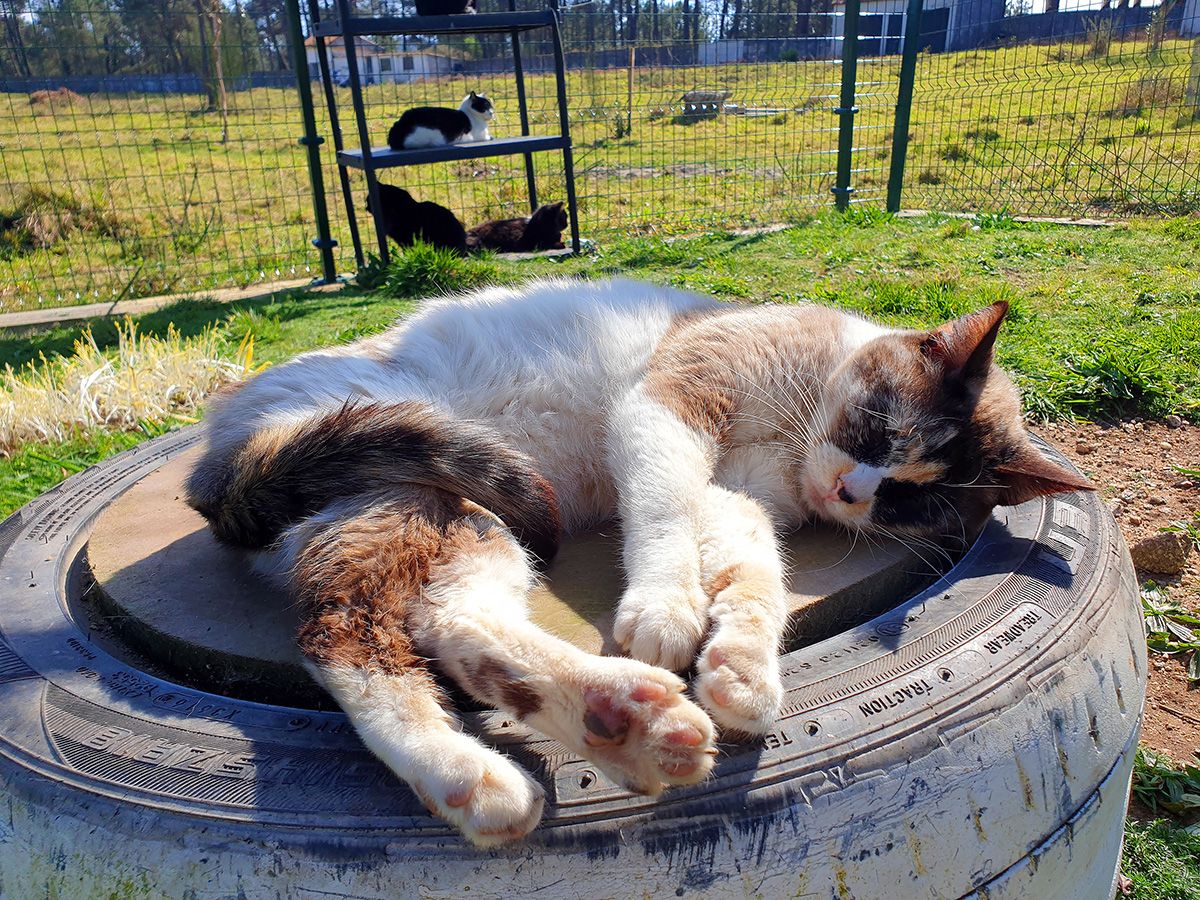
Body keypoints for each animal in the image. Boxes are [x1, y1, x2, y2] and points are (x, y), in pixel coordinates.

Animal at [184, 282, 1089, 854]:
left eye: (909, 501)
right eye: (880, 431)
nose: (851, 491)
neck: (795, 430)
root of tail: (212, 460)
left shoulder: (740, 498)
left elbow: (755, 577)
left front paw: (742, 672)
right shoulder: (669, 407)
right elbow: (663, 511)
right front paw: (665, 609)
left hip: (472, 524)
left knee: (451, 622)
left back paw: (620, 722)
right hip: (426, 485)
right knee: (344, 634)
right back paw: (472, 776)